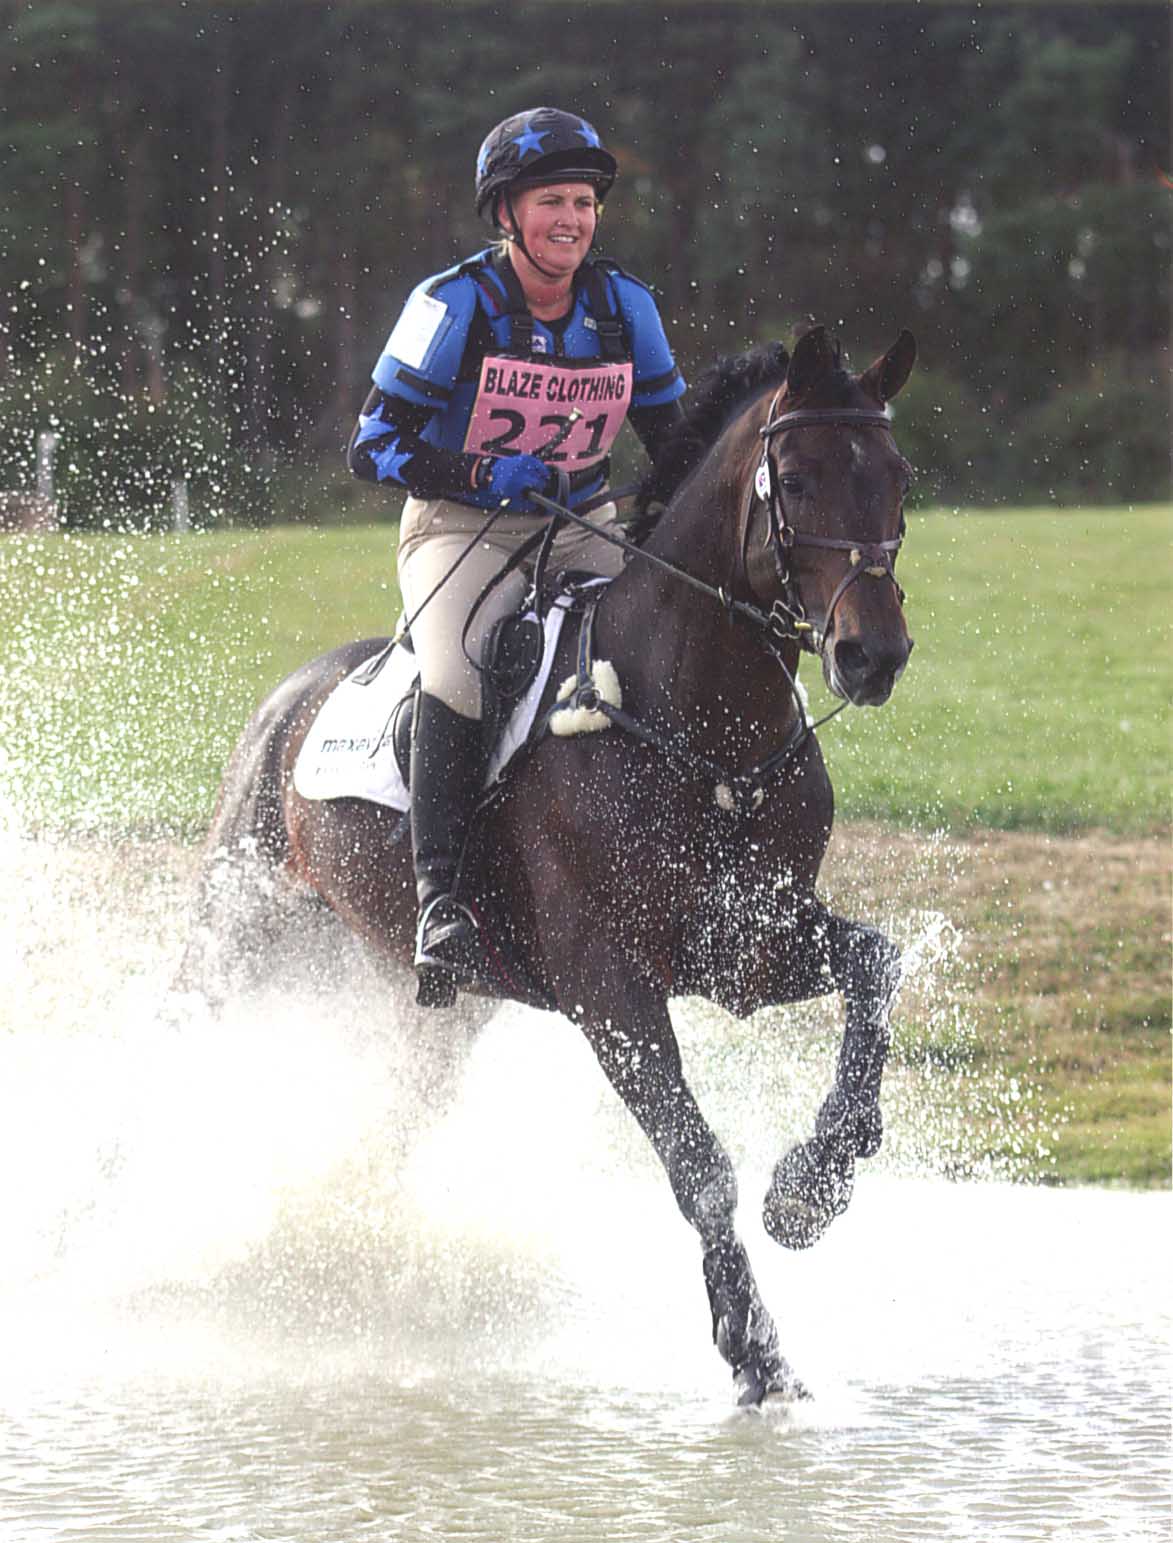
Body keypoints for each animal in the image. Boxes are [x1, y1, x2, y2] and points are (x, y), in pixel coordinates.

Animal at [181, 325, 913, 1413]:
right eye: (799, 477)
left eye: (898, 478)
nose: (874, 655)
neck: (698, 718)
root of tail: (286, 702)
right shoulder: (609, 984)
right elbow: (696, 1164)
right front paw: (755, 1351)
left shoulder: (748, 945)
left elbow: (877, 965)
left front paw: (814, 1183)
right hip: (235, 933)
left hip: (426, 1004)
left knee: (383, 1124)